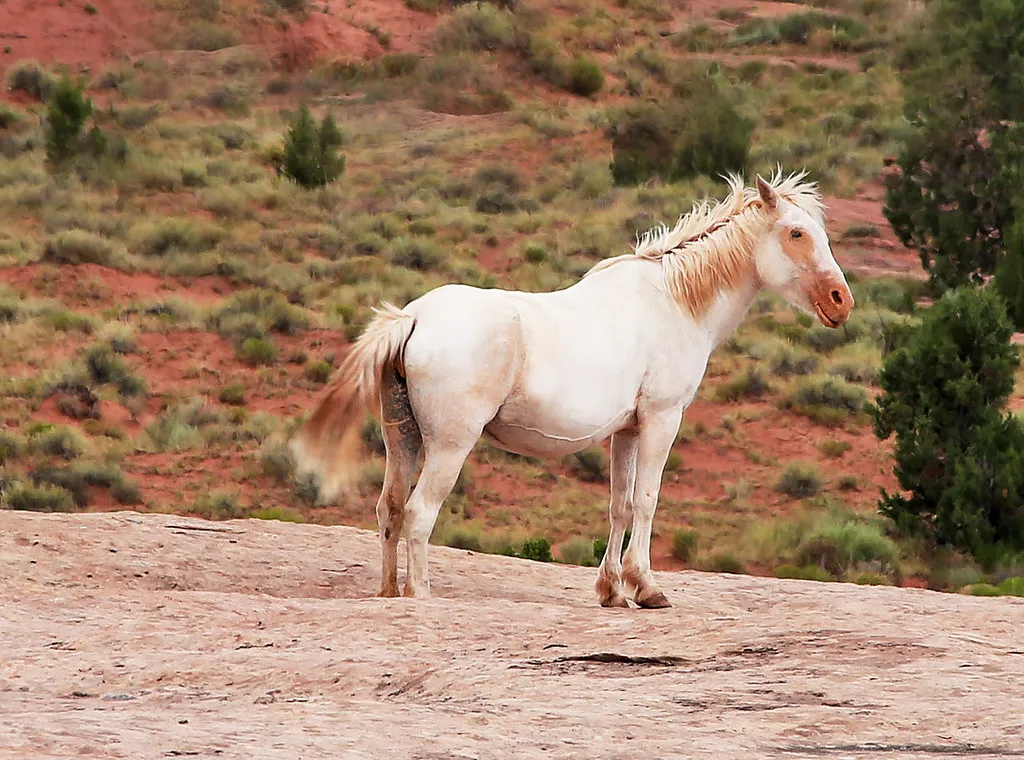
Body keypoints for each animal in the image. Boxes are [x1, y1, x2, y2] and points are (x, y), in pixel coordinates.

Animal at [290, 170, 854, 608]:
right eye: (796, 232)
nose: (840, 300)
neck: (674, 301)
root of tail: (413, 318)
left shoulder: (627, 431)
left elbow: (619, 504)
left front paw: (613, 591)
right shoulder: (661, 420)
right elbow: (647, 499)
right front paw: (648, 588)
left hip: (402, 440)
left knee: (389, 510)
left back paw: (389, 594)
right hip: (449, 447)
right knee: (419, 514)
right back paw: (420, 596)